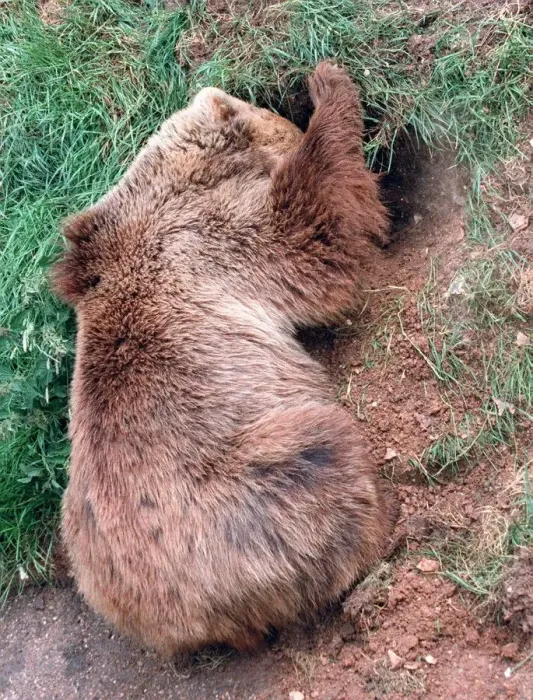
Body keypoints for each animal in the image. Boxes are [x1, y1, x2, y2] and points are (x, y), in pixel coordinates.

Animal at [52, 62, 393, 657]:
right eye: (282, 116)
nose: (291, 116)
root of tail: (174, 620)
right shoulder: (209, 239)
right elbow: (309, 235)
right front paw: (329, 85)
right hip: (246, 494)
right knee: (323, 456)